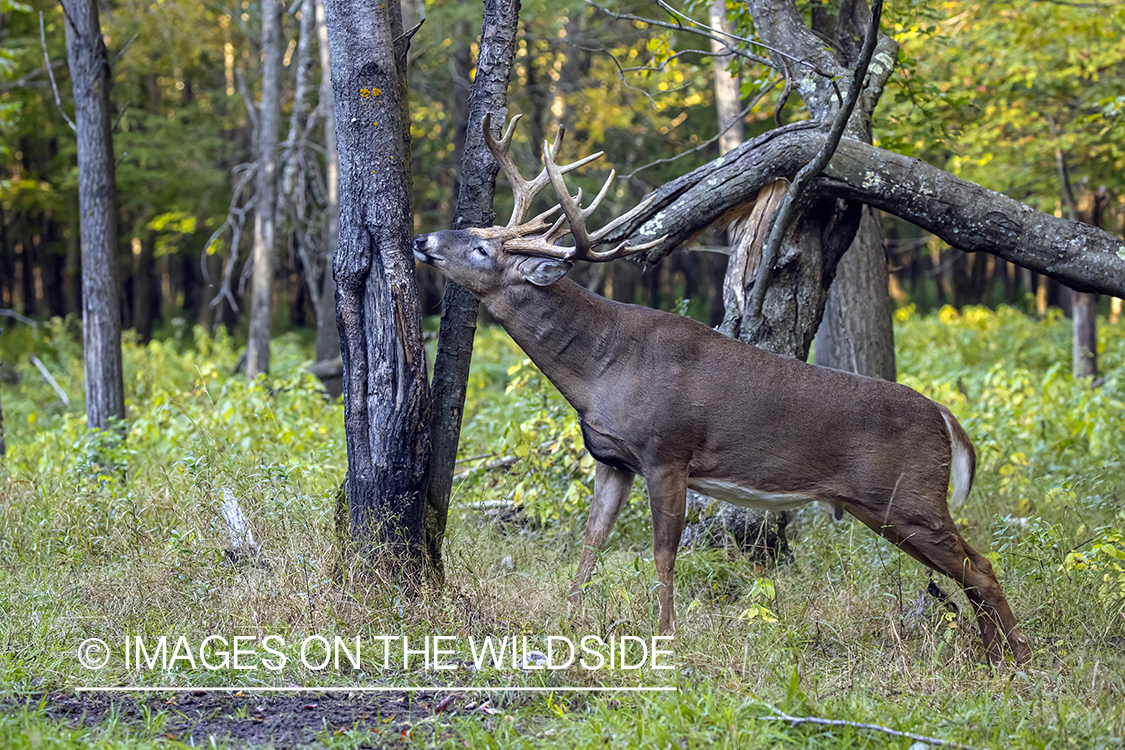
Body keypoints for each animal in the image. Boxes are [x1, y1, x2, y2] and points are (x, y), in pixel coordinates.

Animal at [411, 111, 1030, 661]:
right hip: (884, 506)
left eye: (482, 249)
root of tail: (947, 419)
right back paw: (995, 653)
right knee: (972, 567)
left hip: (908, 494)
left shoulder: (667, 450)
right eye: (477, 232)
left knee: (979, 564)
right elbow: (591, 544)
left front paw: (665, 639)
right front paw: (564, 624)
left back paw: (1014, 658)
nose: (421, 239)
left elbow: (663, 553)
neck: (600, 367)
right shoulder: (613, 459)